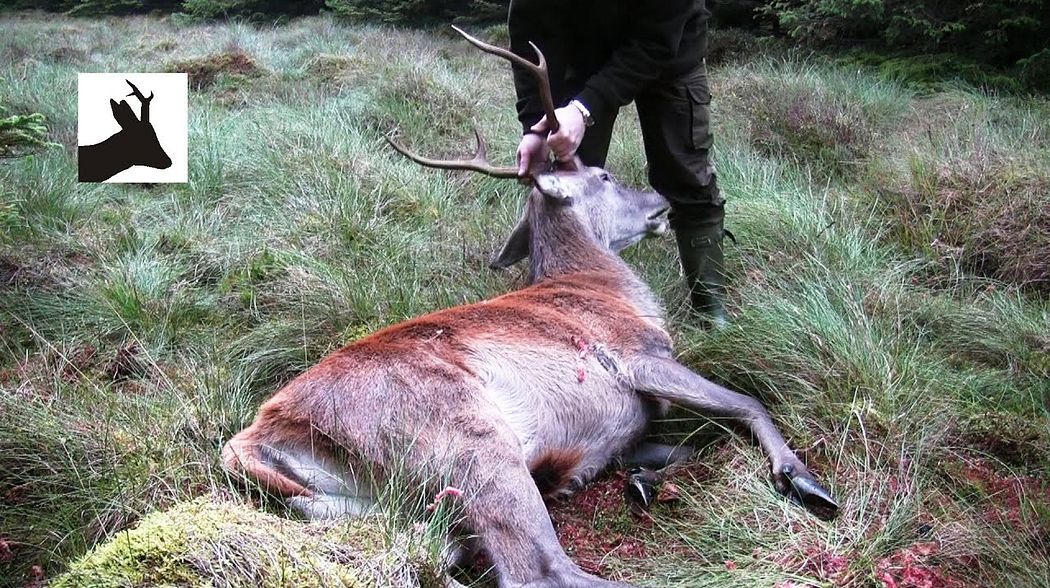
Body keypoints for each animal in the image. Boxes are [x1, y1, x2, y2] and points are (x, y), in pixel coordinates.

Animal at [223, 26, 835, 588]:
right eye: (605, 175)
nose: (660, 201)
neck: (603, 285)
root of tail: (254, 439)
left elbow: (691, 444)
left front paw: (640, 479)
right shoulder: (637, 355)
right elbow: (748, 403)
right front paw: (802, 478)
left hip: (363, 506)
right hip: (468, 435)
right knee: (538, 570)